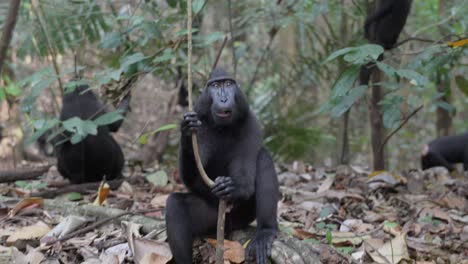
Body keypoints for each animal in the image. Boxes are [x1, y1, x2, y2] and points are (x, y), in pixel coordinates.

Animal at [165, 68, 278, 264]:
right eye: (216, 85)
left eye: (228, 84)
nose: (224, 98)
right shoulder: (200, 122)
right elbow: (191, 179)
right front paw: (186, 133)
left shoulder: (251, 124)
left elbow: (246, 179)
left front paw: (231, 187)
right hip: (212, 216)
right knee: (174, 204)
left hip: (242, 215)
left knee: (263, 158)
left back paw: (265, 232)